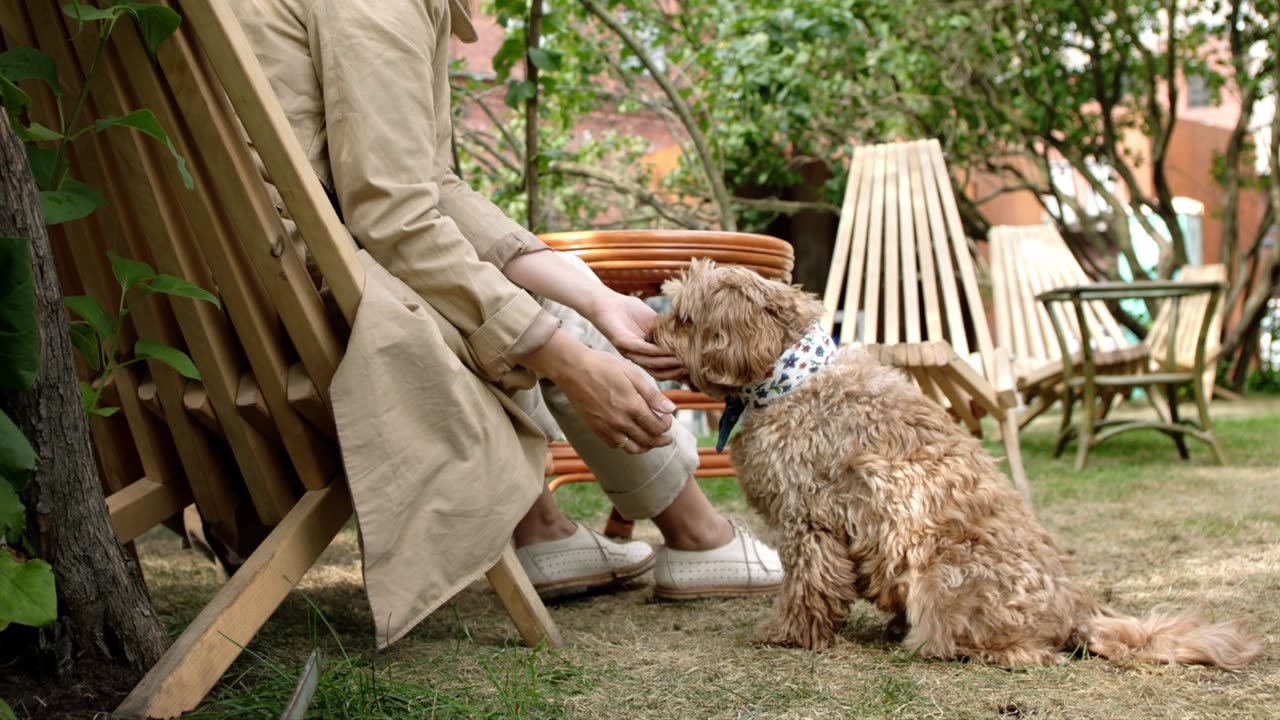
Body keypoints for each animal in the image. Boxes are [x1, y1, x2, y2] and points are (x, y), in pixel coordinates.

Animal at [655, 257, 1254, 666]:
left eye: (683, 317)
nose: (652, 331)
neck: (791, 378)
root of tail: (1079, 609)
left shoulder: (809, 520)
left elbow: (807, 587)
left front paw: (788, 634)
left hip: (943, 580)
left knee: (1030, 650)